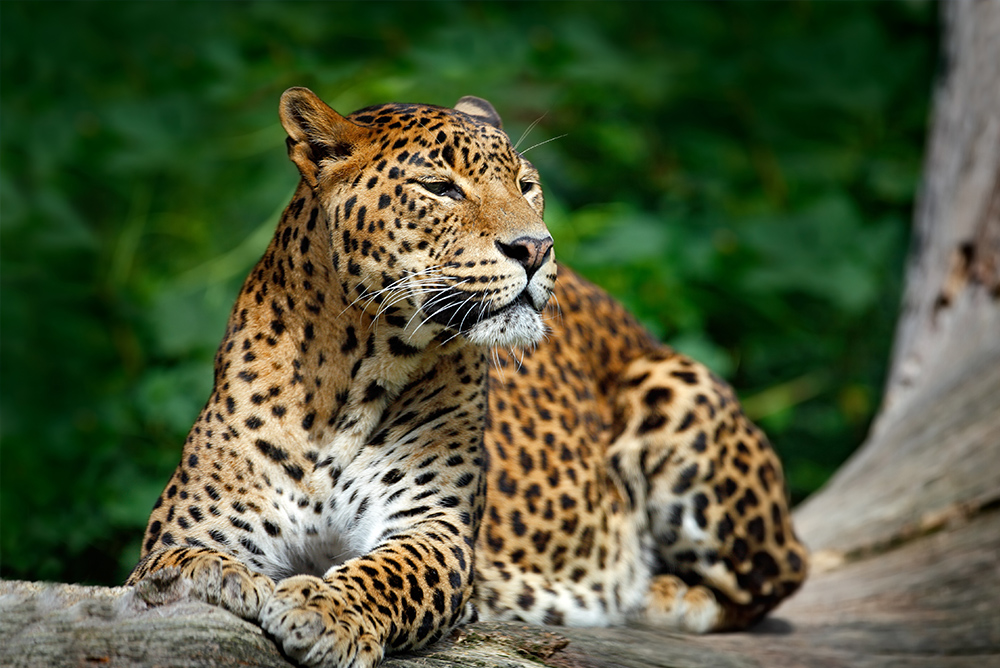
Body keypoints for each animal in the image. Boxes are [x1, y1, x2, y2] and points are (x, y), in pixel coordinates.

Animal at [128, 87, 808, 668]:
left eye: (527, 186)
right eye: (440, 188)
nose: (536, 248)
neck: (350, 374)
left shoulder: (435, 527)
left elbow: (386, 573)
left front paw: (324, 609)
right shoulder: (194, 523)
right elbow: (177, 560)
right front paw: (214, 577)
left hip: (676, 386)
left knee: (781, 572)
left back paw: (663, 594)